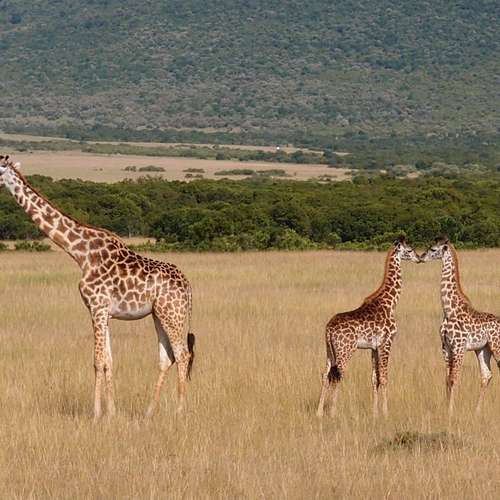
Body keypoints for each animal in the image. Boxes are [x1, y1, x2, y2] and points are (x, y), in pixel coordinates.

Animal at [0, 155, 195, 420]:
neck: (80, 252)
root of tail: (188, 286)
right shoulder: (105, 313)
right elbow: (109, 361)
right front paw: (112, 413)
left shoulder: (96, 307)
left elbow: (97, 361)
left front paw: (96, 414)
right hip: (159, 314)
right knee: (167, 358)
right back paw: (149, 413)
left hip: (172, 314)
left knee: (183, 354)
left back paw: (179, 412)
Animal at [316, 237, 420, 418]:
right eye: (409, 250)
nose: (419, 258)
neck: (390, 303)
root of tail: (328, 328)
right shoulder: (387, 342)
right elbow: (384, 377)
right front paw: (385, 412)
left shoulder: (374, 347)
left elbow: (374, 378)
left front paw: (375, 413)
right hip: (346, 350)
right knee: (338, 376)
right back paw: (333, 411)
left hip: (329, 351)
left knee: (325, 375)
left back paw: (319, 412)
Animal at [419, 237, 500, 415]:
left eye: (433, 249)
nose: (421, 257)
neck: (449, 310)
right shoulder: (446, 347)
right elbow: (447, 378)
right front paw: (446, 408)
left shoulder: (459, 347)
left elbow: (455, 378)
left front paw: (451, 411)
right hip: (483, 349)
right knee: (486, 375)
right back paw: (477, 411)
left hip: (496, 347)